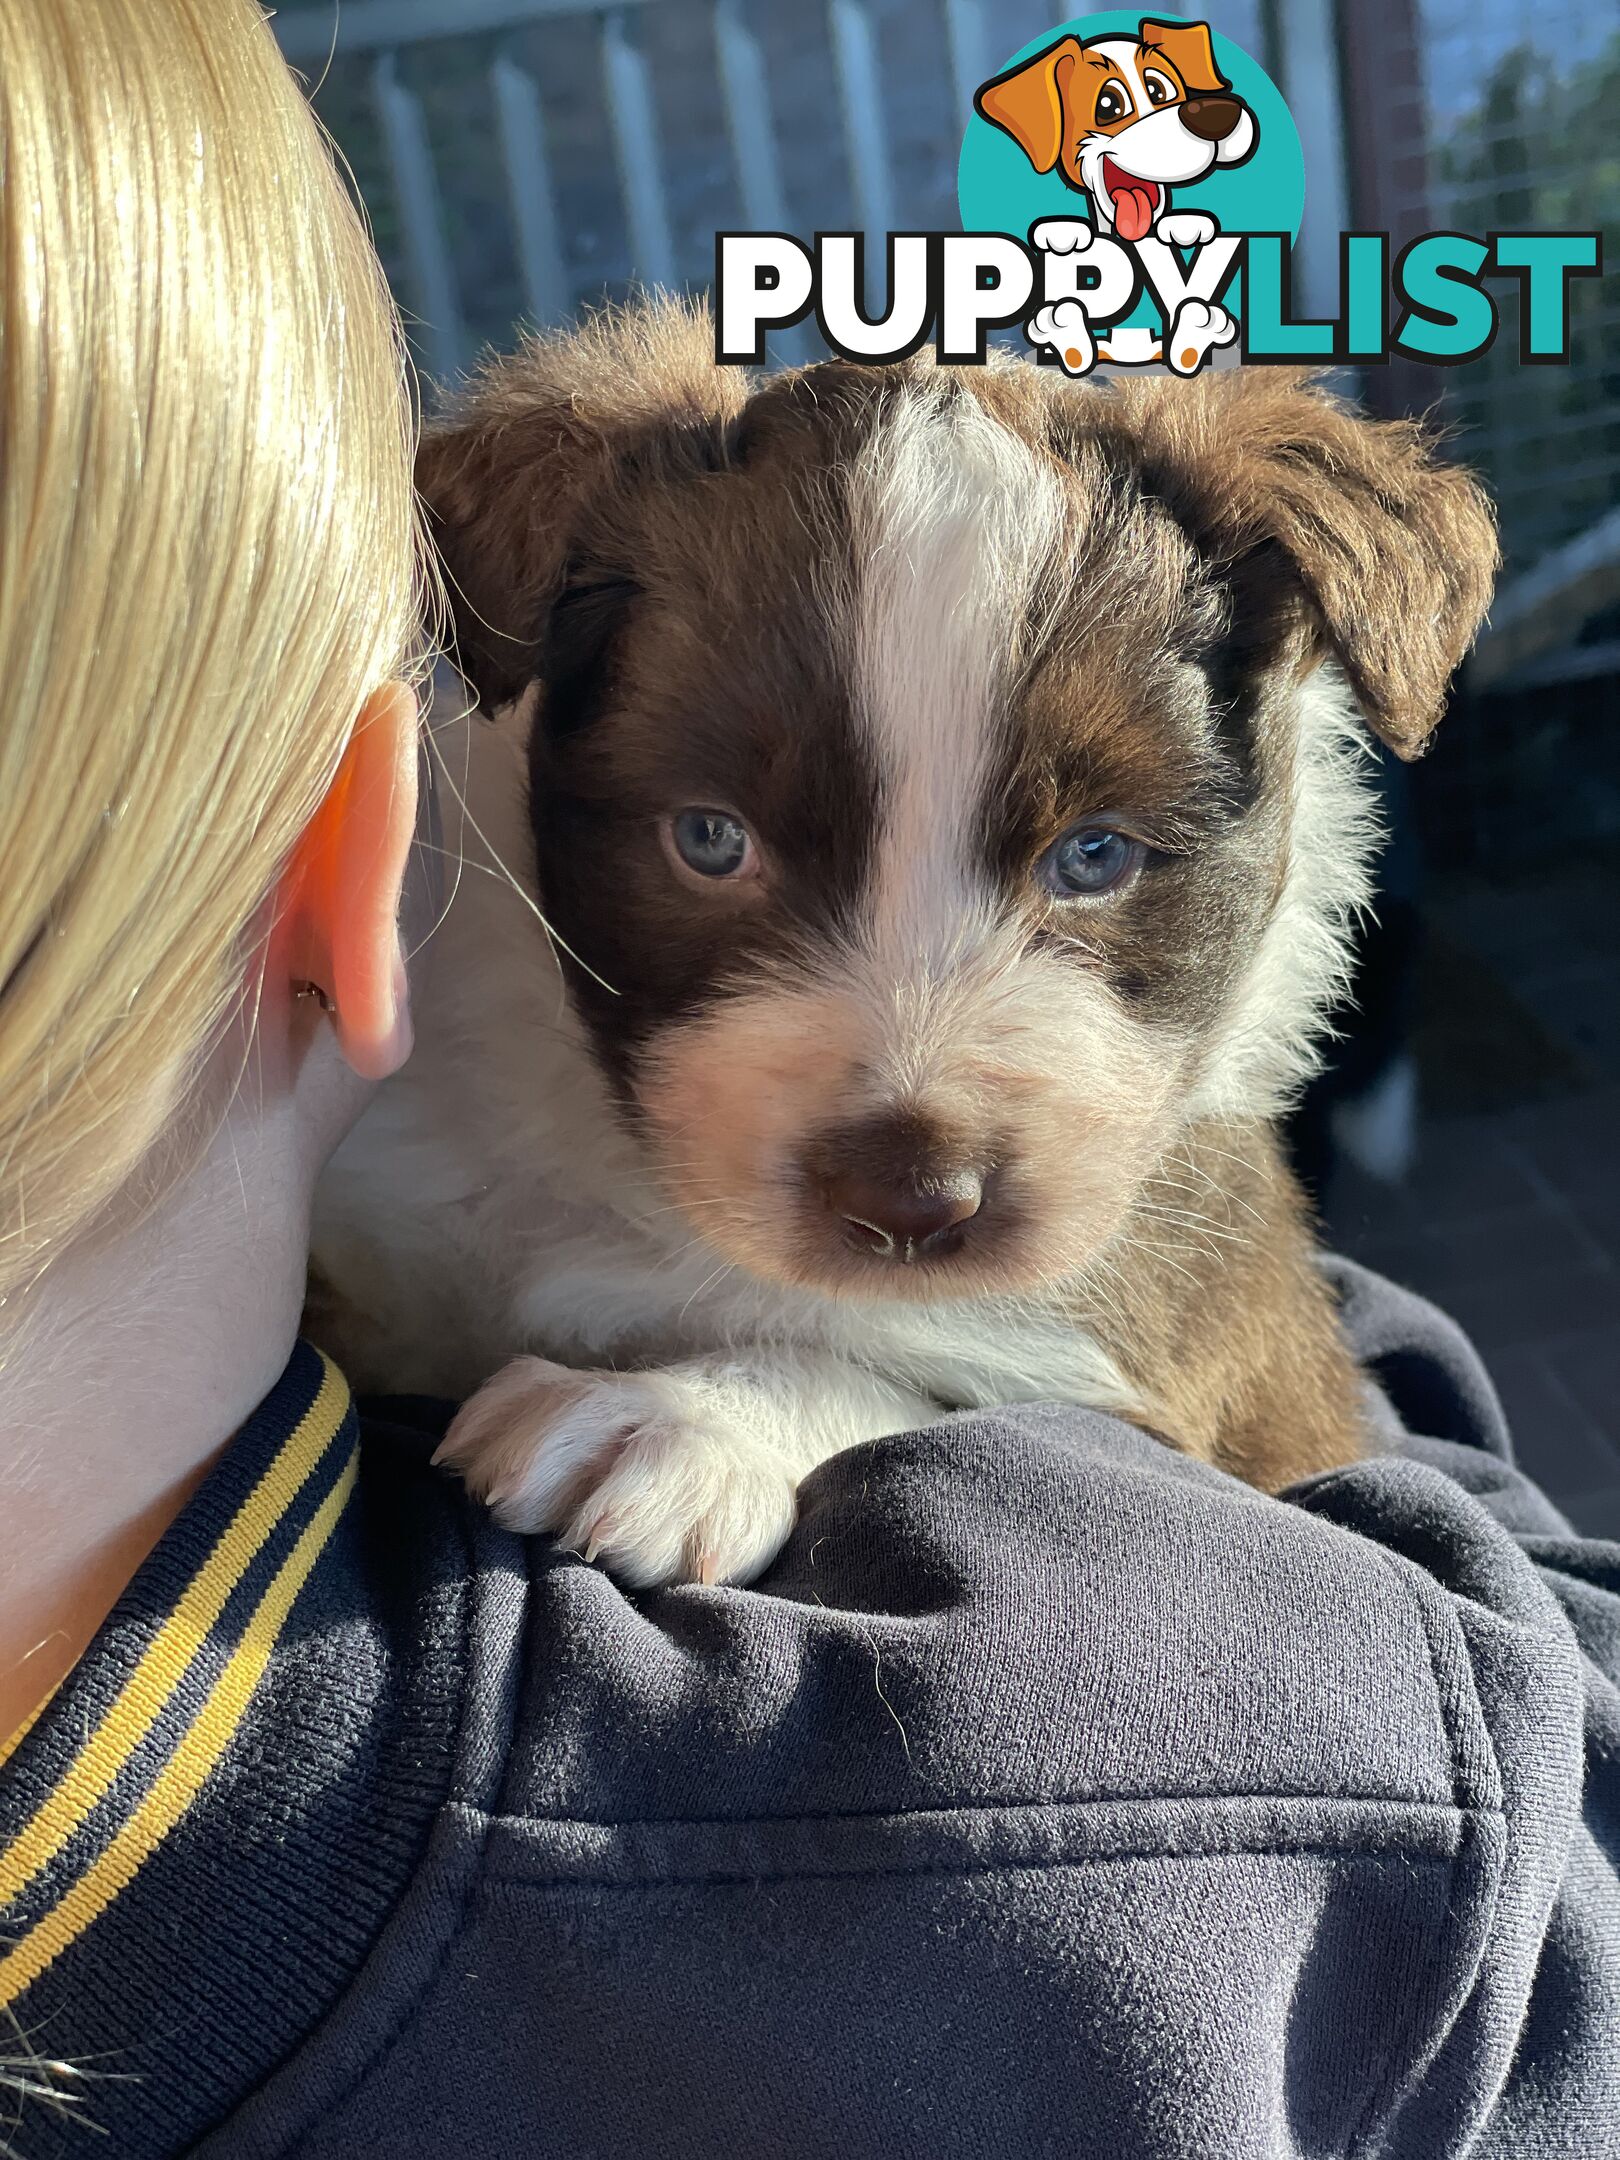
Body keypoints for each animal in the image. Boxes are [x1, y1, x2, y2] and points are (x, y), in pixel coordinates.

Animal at [311, 300, 1503, 1589]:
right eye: (711, 839)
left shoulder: (1184, 1345)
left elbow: (938, 1378)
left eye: (1096, 855)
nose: (913, 1204)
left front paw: (681, 1417)